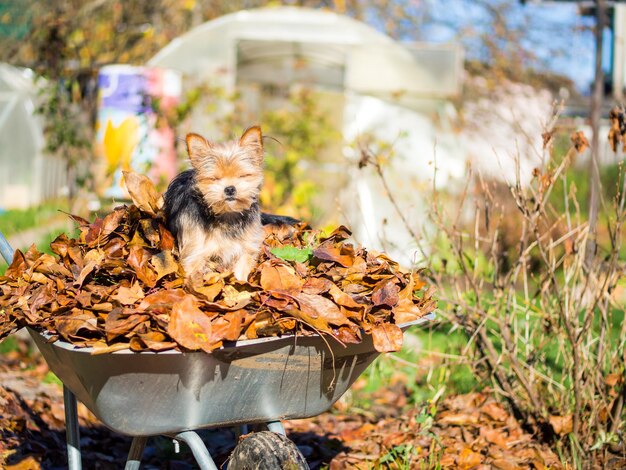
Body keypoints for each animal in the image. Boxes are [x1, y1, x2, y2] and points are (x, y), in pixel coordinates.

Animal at [163, 126, 264, 280]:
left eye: (242, 176)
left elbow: (240, 272)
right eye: (214, 178)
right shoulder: (195, 253)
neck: (227, 215)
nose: (230, 189)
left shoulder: (246, 249)